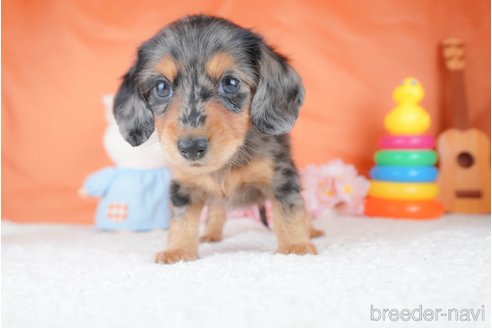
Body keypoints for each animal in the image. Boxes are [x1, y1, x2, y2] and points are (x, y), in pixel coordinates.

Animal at [114, 14, 322, 264]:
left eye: (230, 83)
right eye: (161, 87)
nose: (191, 147)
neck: (226, 163)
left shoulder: (281, 177)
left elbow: (289, 210)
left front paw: (295, 245)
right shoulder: (184, 185)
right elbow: (182, 220)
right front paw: (178, 250)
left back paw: (312, 230)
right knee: (216, 210)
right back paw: (211, 234)